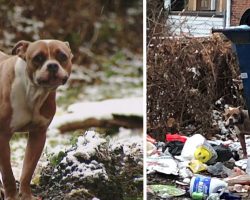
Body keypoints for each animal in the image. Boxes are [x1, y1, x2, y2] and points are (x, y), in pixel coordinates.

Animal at [0, 39, 73, 200]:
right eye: (38, 58)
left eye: (62, 56)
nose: (52, 65)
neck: (32, 92)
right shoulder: (2, 136)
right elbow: (7, 173)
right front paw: (12, 196)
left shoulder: (38, 135)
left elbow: (28, 170)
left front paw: (26, 195)